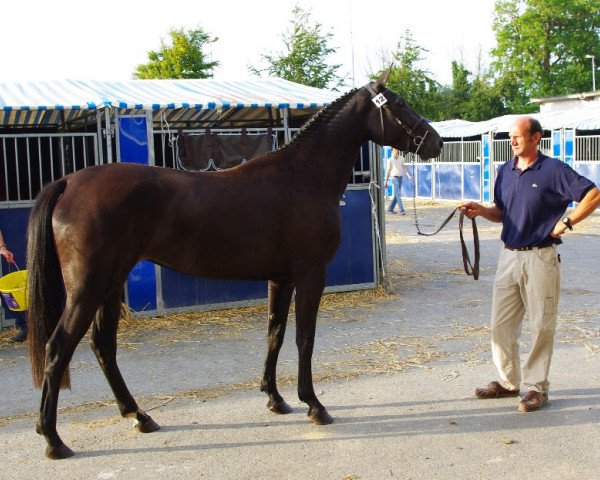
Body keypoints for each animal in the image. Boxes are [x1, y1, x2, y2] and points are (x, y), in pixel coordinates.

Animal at [27, 70, 440, 458]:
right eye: (400, 104)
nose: (434, 141)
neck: (302, 176)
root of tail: (68, 181)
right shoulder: (310, 275)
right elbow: (304, 338)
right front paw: (314, 404)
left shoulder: (281, 279)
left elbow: (275, 334)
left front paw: (275, 398)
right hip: (88, 288)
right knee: (58, 347)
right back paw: (53, 439)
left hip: (111, 285)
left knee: (103, 346)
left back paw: (139, 416)